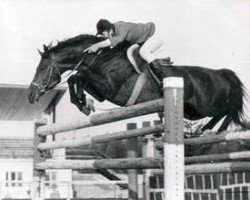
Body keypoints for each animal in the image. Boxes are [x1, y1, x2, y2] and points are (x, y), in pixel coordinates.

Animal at [28, 34, 247, 133]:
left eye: (41, 68)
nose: (31, 96)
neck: (102, 57)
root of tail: (221, 73)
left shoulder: (110, 89)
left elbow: (80, 76)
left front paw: (84, 103)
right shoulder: (102, 91)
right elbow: (78, 77)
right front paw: (84, 103)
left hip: (204, 106)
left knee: (228, 111)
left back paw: (209, 131)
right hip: (191, 111)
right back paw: (204, 131)